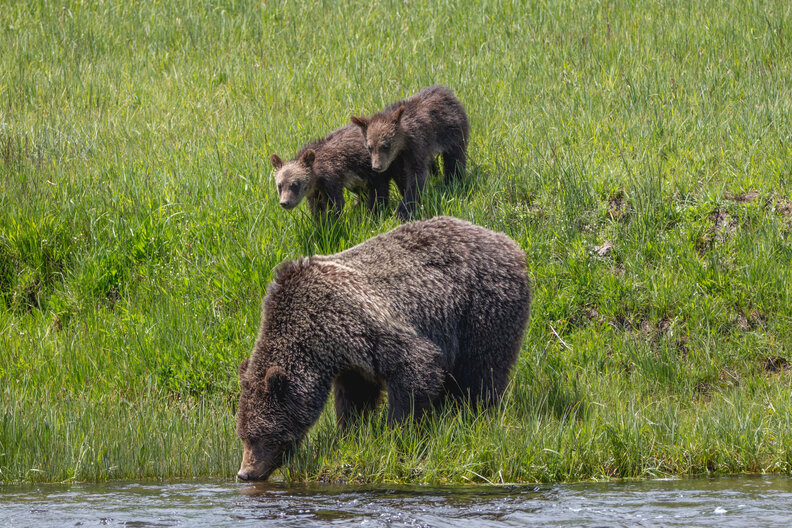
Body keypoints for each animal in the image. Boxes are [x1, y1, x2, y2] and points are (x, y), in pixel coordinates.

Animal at [235, 216, 532, 481]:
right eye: (242, 435)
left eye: (262, 436)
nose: (245, 473)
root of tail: (509, 242)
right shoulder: (350, 360)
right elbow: (356, 397)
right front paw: (352, 433)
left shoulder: (362, 324)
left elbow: (414, 369)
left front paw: (398, 433)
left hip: (480, 308)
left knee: (481, 371)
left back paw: (477, 413)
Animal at [270, 124, 404, 221]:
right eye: (279, 185)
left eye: (295, 184)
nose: (285, 202)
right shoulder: (316, 190)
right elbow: (316, 207)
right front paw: (319, 223)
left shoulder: (332, 178)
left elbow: (335, 203)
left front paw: (330, 224)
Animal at [350, 85, 470, 220]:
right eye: (369, 147)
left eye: (386, 145)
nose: (377, 166)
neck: (402, 145)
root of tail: (446, 92)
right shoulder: (396, 160)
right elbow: (395, 179)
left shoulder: (416, 148)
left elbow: (416, 177)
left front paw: (403, 211)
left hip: (453, 133)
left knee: (455, 159)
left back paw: (453, 181)